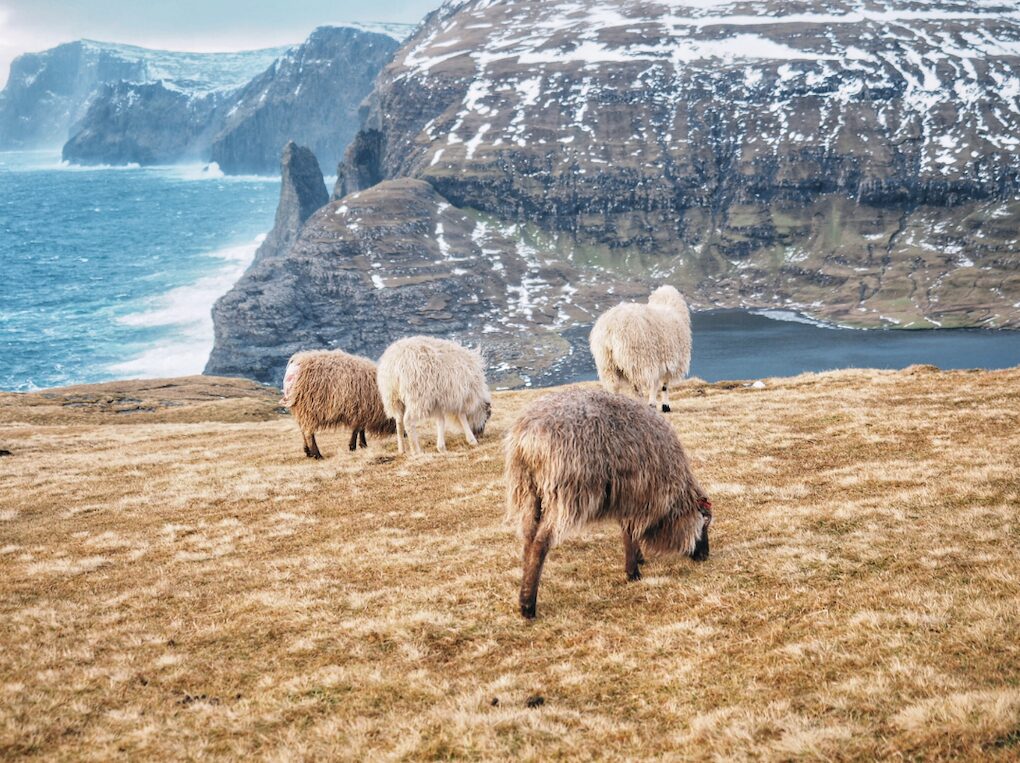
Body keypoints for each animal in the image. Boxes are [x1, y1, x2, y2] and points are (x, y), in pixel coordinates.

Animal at [504, 387, 712, 619]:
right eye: (705, 521)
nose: (705, 556)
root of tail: (527, 440)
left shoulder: (626, 497)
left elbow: (627, 530)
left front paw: (638, 558)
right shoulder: (638, 495)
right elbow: (630, 532)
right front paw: (633, 572)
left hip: (529, 492)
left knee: (528, 539)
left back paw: (524, 592)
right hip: (564, 493)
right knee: (540, 543)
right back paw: (528, 606)